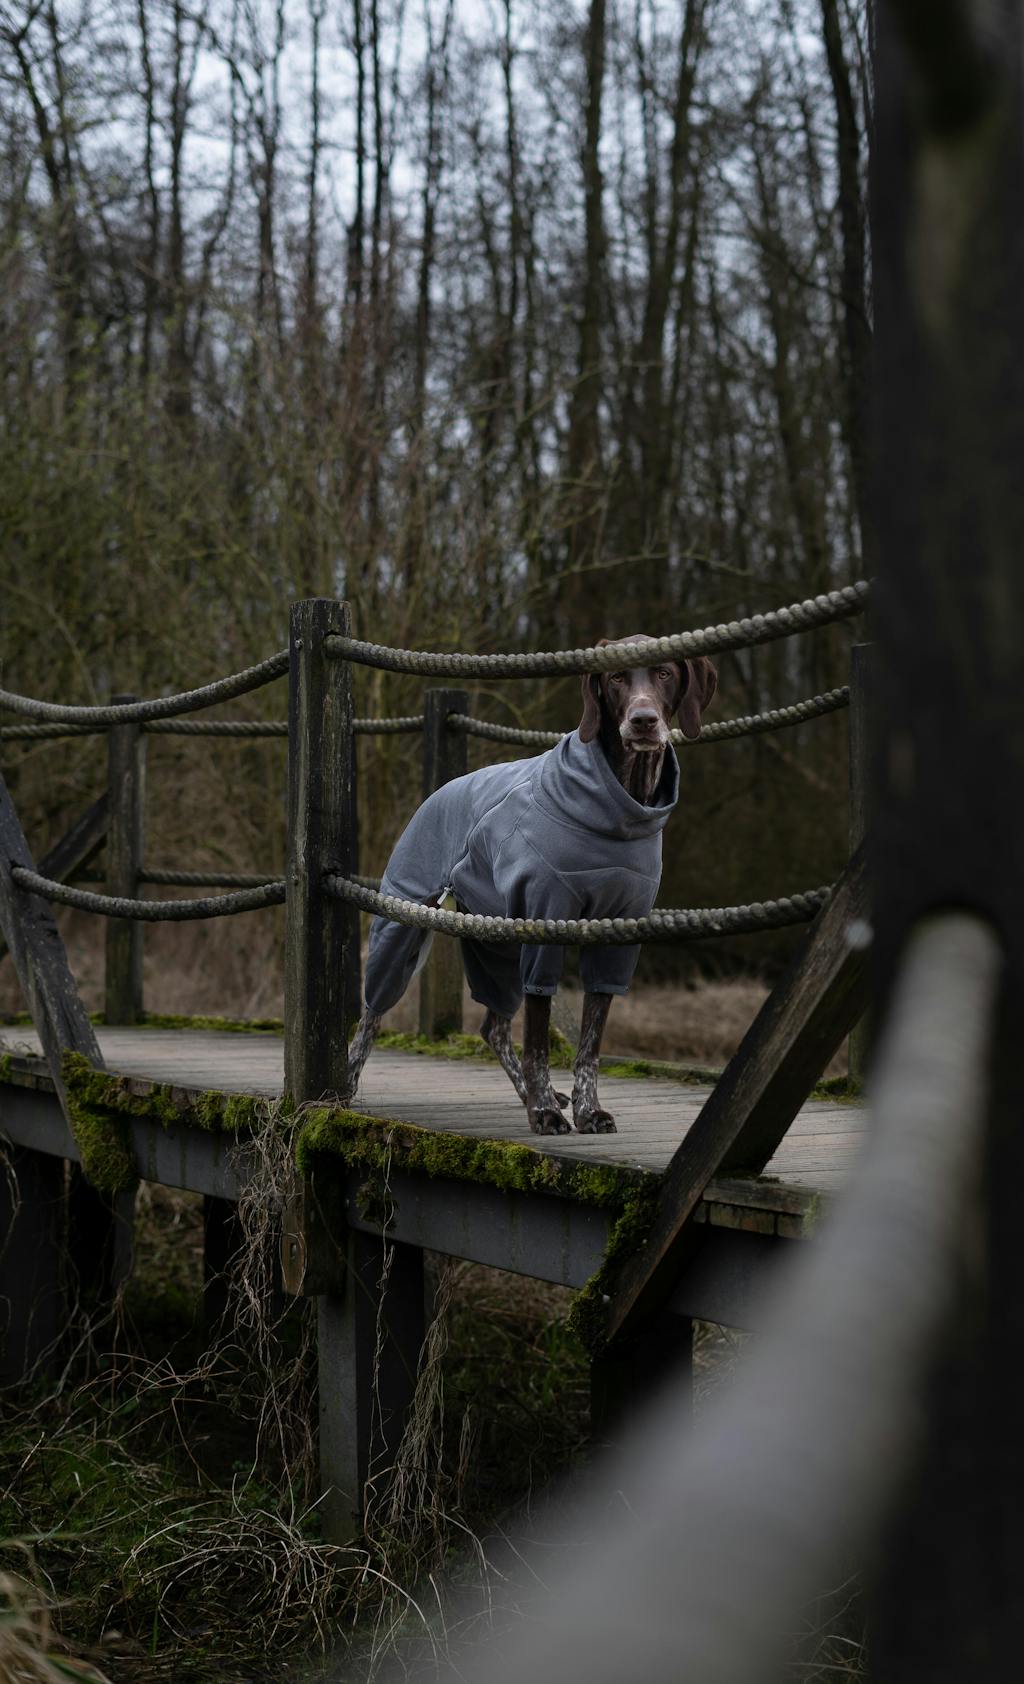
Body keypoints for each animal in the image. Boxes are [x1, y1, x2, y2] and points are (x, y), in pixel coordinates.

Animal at [346, 642, 717, 1134]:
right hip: (404, 922)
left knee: (494, 1027)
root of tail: (440, 790)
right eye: (616, 677)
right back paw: (342, 1083)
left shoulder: (617, 934)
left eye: (663, 673)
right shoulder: (544, 922)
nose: (643, 720)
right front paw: (543, 1110)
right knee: (371, 1014)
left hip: (496, 941)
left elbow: (590, 1042)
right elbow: (539, 1033)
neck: (619, 805)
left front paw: (585, 1109)